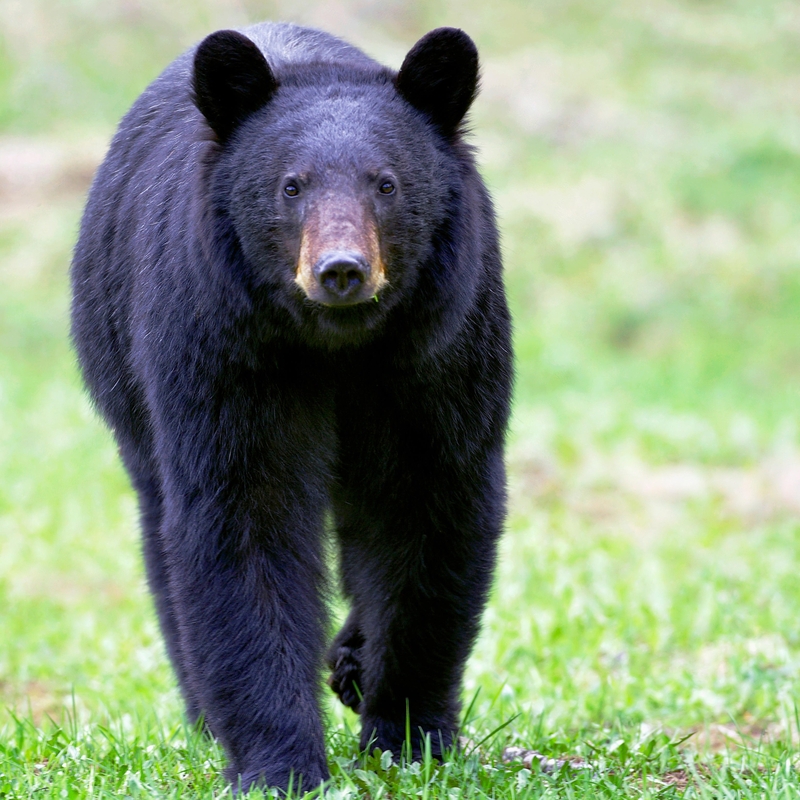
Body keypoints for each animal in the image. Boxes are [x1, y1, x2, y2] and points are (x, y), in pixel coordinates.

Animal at [73, 20, 512, 792]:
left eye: (387, 183)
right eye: (290, 185)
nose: (341, 270)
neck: (337, 343)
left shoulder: (441, 347)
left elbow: (431, 504)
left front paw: (408, 732)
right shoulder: (222, 346)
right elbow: (246, 516)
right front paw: (280, 764)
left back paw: (351, 661)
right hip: (124, 373)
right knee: (163, 532)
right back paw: (207, 711)